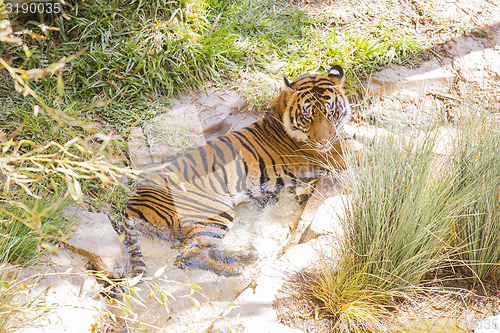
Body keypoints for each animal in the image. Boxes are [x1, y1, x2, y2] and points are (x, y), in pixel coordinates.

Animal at [121, 65, 356, 278]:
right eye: (308, 117)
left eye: (330, 113)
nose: (323, 140)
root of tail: (133, 199)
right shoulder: (329, 156)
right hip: (213, 211)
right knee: (188, 255)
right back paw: (241, 265)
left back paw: (246, 256)